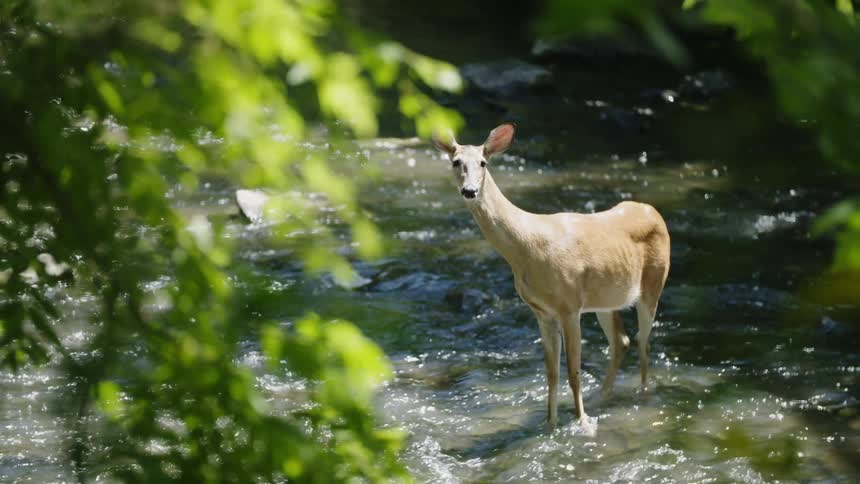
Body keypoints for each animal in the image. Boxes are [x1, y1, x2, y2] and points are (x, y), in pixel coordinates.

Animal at [432, 123, 670, 431]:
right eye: (455, 162)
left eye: (483, 162)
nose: (470, 190)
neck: (526, 248)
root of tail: (654, 211)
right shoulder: (542, 311)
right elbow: (551, 373)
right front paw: (550, 423)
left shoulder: (569, 306)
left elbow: (573, 371)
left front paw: (581, 423)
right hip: (606, 299)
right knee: (622, 341)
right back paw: (603, 396)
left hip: (653, 284)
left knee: (643, 342)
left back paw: (642, 395)